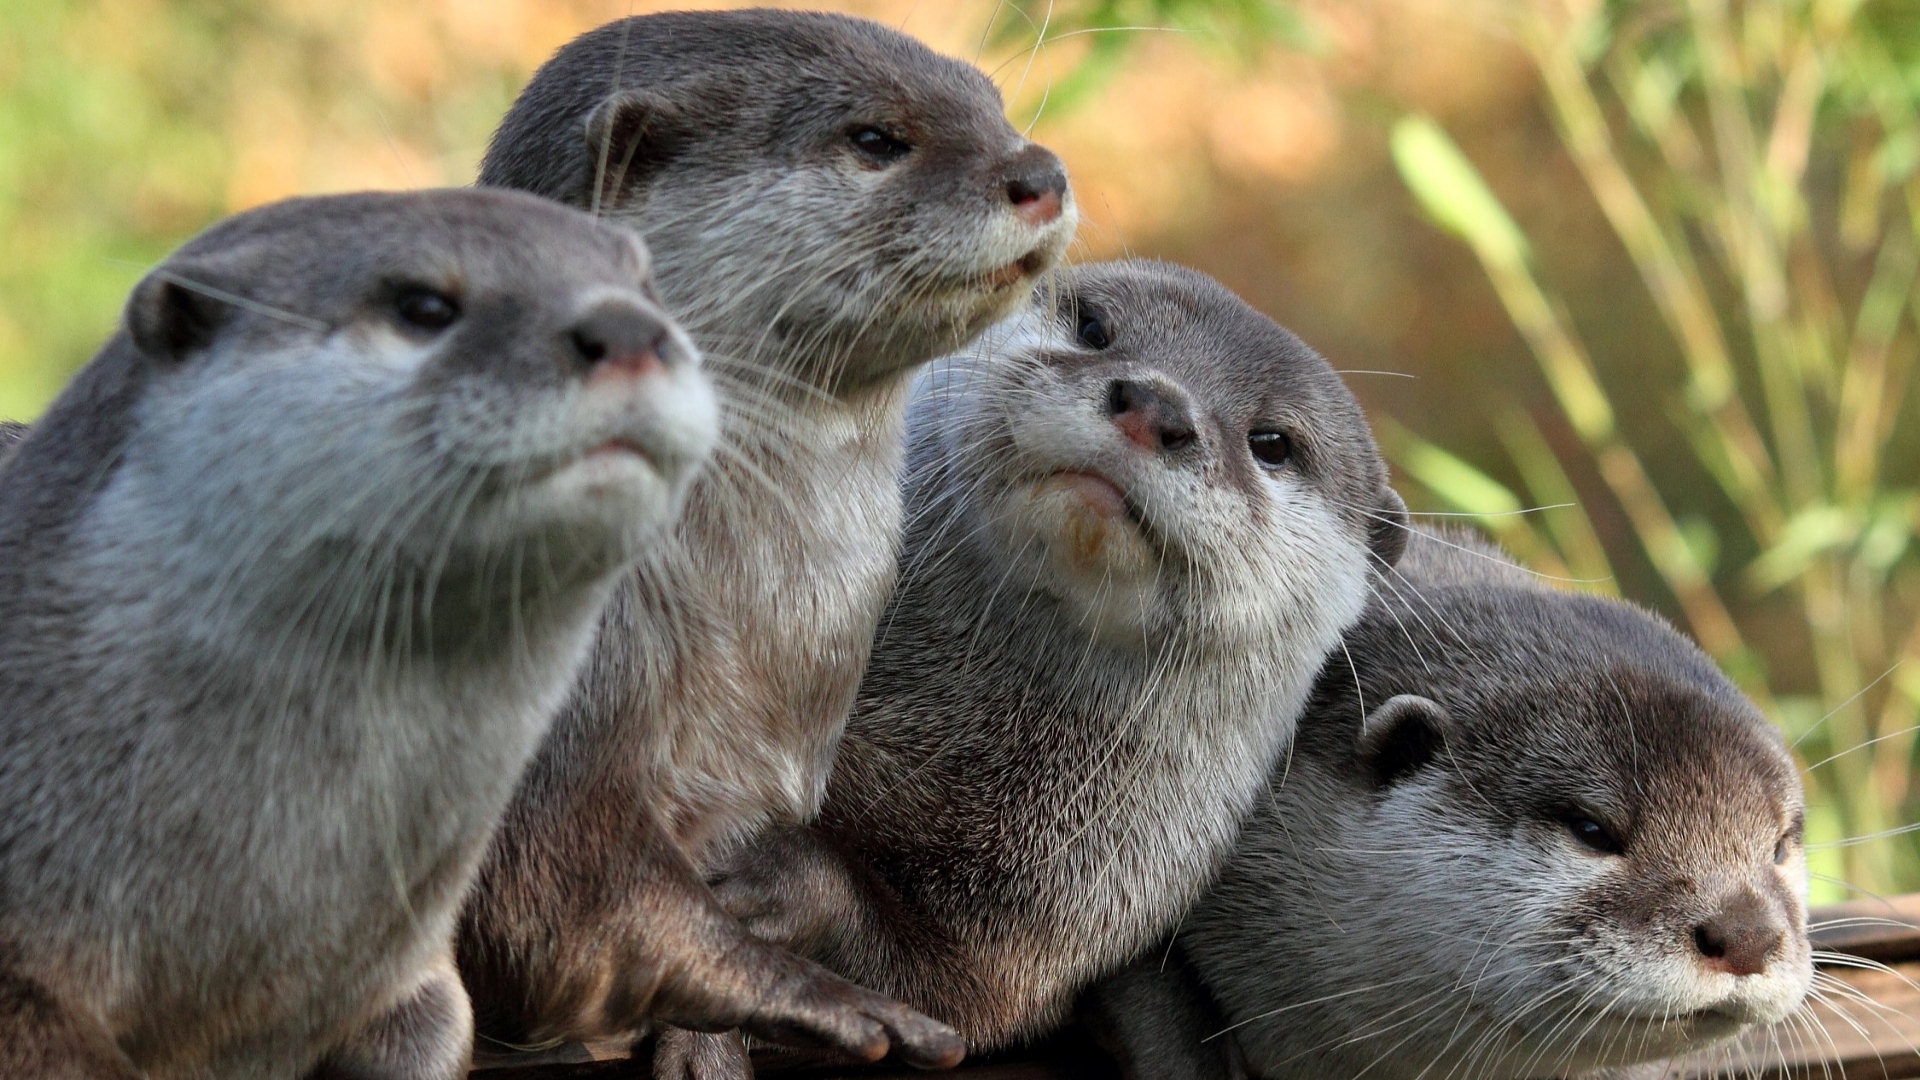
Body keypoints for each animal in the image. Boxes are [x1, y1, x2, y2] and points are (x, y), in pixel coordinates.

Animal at [701, 260, 1409, 1063]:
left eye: (1274, 443)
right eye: (1094, 328)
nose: (1156, 404)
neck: (941, 742)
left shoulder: (1039, 931)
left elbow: (939, 996)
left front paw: (771, 876)